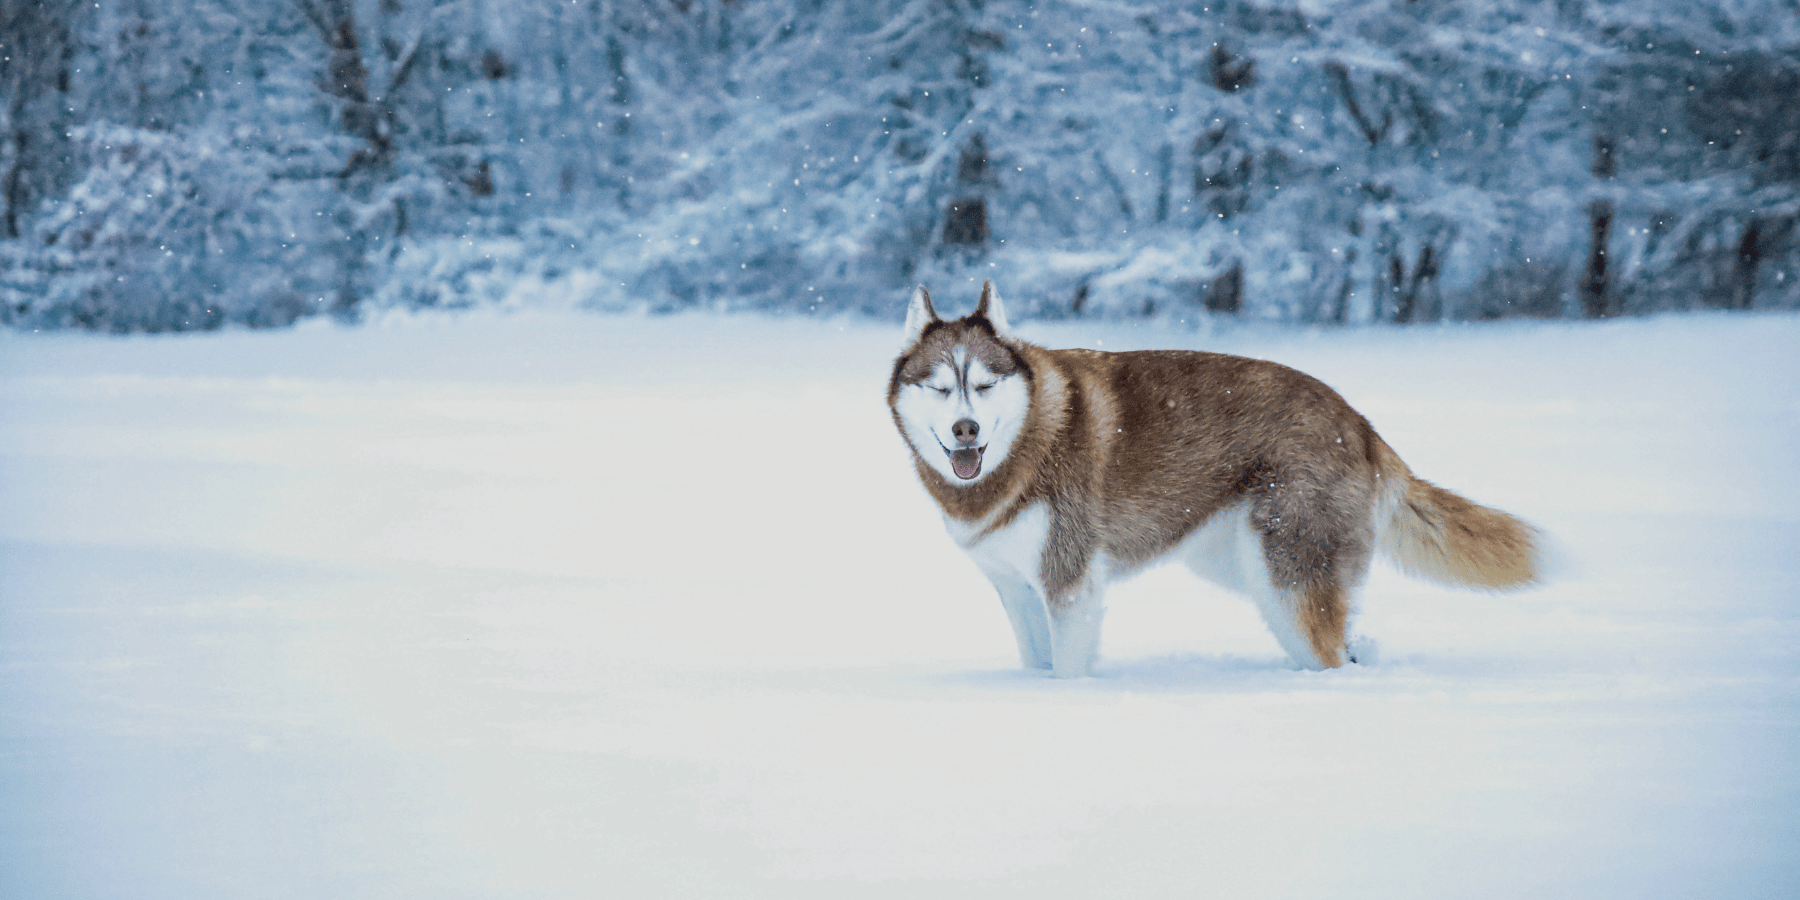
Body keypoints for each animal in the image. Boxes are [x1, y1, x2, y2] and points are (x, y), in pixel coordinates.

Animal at [892, 280, 1540, 676]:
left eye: (984, 385)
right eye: (941, 388)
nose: (968, 430)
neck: (1027, 440)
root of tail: (1359, 421)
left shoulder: (1070, 582)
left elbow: (1069, 669)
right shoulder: (1016, 587)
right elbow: (1037, 660)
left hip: (1285, 573)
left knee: (1329, 652)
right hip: (1244, 568)